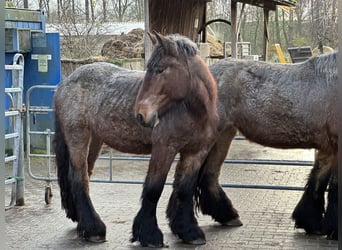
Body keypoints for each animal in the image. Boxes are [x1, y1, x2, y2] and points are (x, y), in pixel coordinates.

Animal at [53, 31, 240, 248]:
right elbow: (153, 189)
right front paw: (149, 236)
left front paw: (189, 232)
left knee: (84, 175)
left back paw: (82, 223)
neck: (191, 110)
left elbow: (184, 189)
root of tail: (64, 83)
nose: (141, 115)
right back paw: (94, 230)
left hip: (94, 141)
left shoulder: (195, 152)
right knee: (79, 178)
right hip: (78, 137)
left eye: (160, 69)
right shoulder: (164, 149)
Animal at [206, 51, 336, 240]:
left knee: (208, 174)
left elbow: (318, 179)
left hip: (224, 135)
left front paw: (311, 223)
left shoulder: (328, 149)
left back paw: (227, 216)